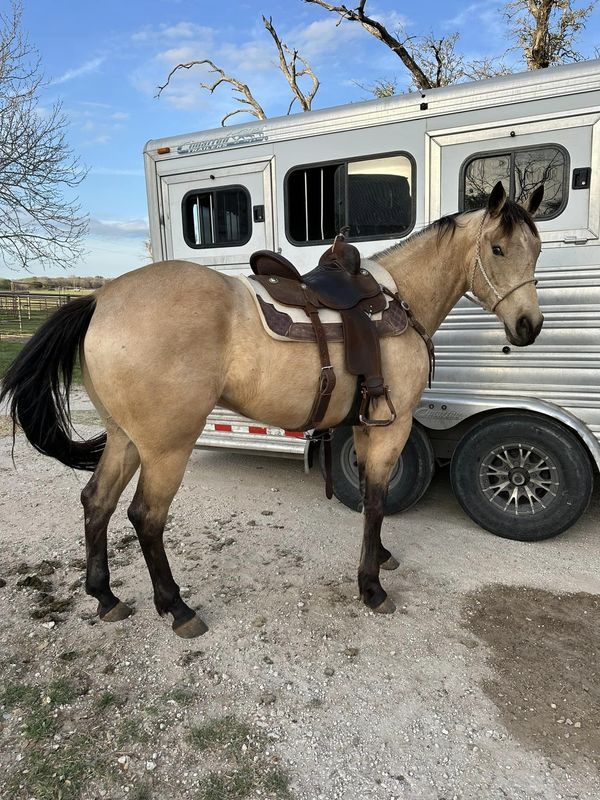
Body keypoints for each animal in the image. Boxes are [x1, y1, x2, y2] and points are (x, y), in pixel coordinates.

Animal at [0, 181, 544, 636]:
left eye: (536, 250)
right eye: (497, 249)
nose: (529, 326)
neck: (399, 299)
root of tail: (100, 299)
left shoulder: (366, 425)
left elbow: (374, 498)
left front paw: (382, 556)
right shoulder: (393, 426)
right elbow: (375, 501)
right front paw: (371, 587)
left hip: (124, 437)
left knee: (97, 501)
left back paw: (105, 597)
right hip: (166, 447)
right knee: (146, 517)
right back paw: (177, 608)